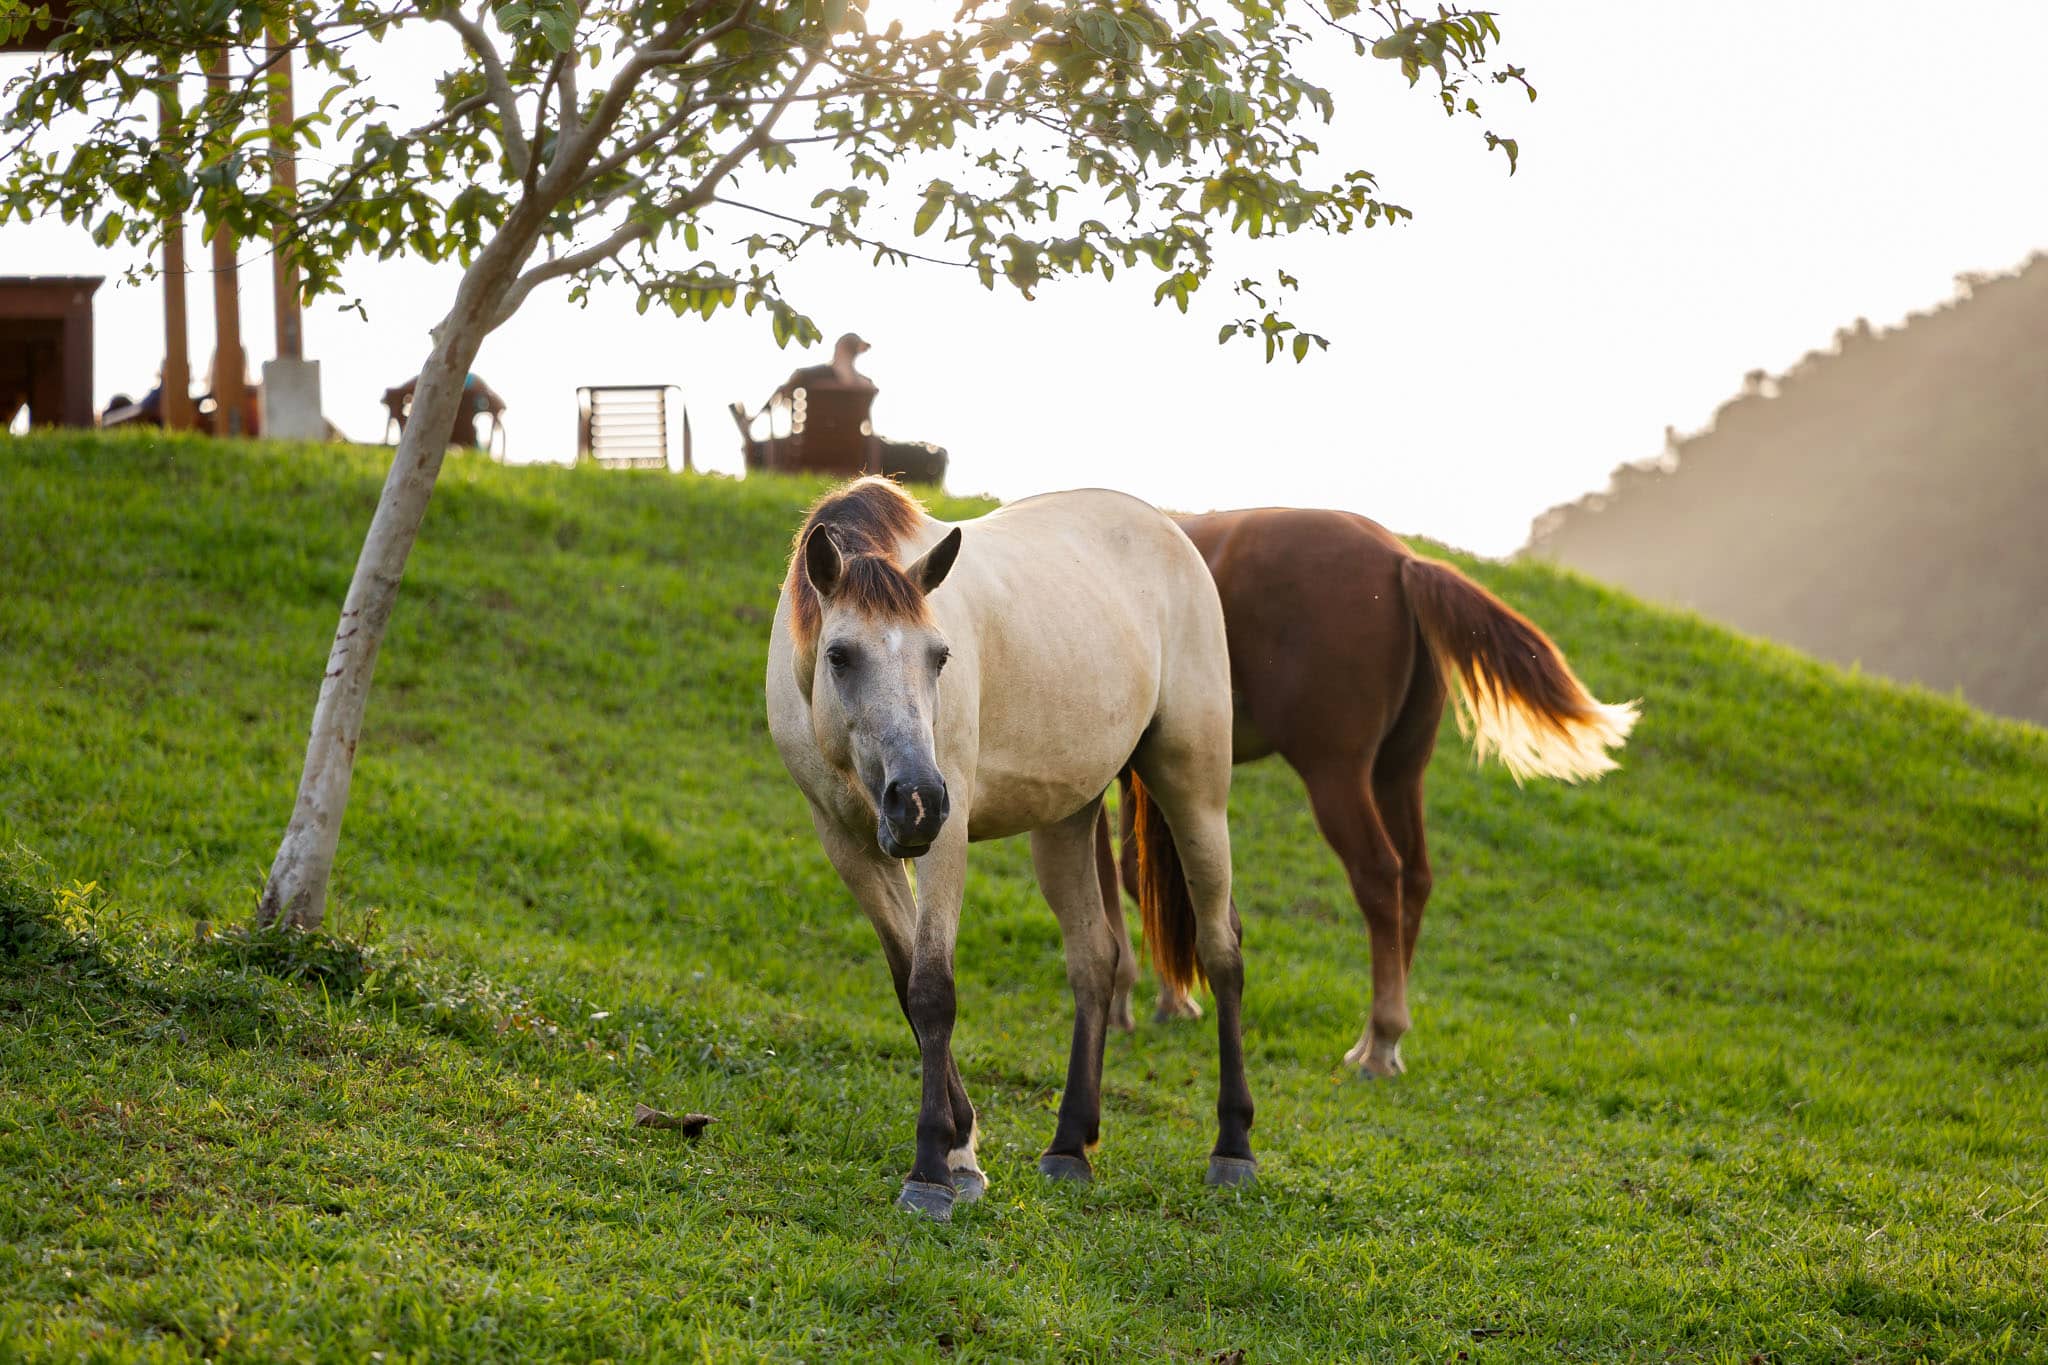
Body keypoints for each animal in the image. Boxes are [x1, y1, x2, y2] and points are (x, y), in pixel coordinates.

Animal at [766, 477, 1250, 1221]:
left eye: (939, 656)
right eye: (839, 655)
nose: (915, 799)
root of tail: (1173, 532)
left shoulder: (946, 836)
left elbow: (933, 991)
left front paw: (932, 1171)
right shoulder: (847, 843)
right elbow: (908, 987)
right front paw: (962, 1149)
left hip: (1193, 790)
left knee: (1221, 948)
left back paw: (1233, 1147)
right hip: (1067, 820)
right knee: (1095, 960)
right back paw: (1070, 1146)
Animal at [1094, 508, 1638, 1077]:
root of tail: (1402, 562)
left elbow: (1120, 879)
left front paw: (1129, 998)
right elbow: (1144, 874)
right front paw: (1173, 997)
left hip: (1336, 776)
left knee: (1378, 874)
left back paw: (1382, 1042)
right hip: (1397, 773)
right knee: (1415, 878)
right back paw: (1379, 1037)